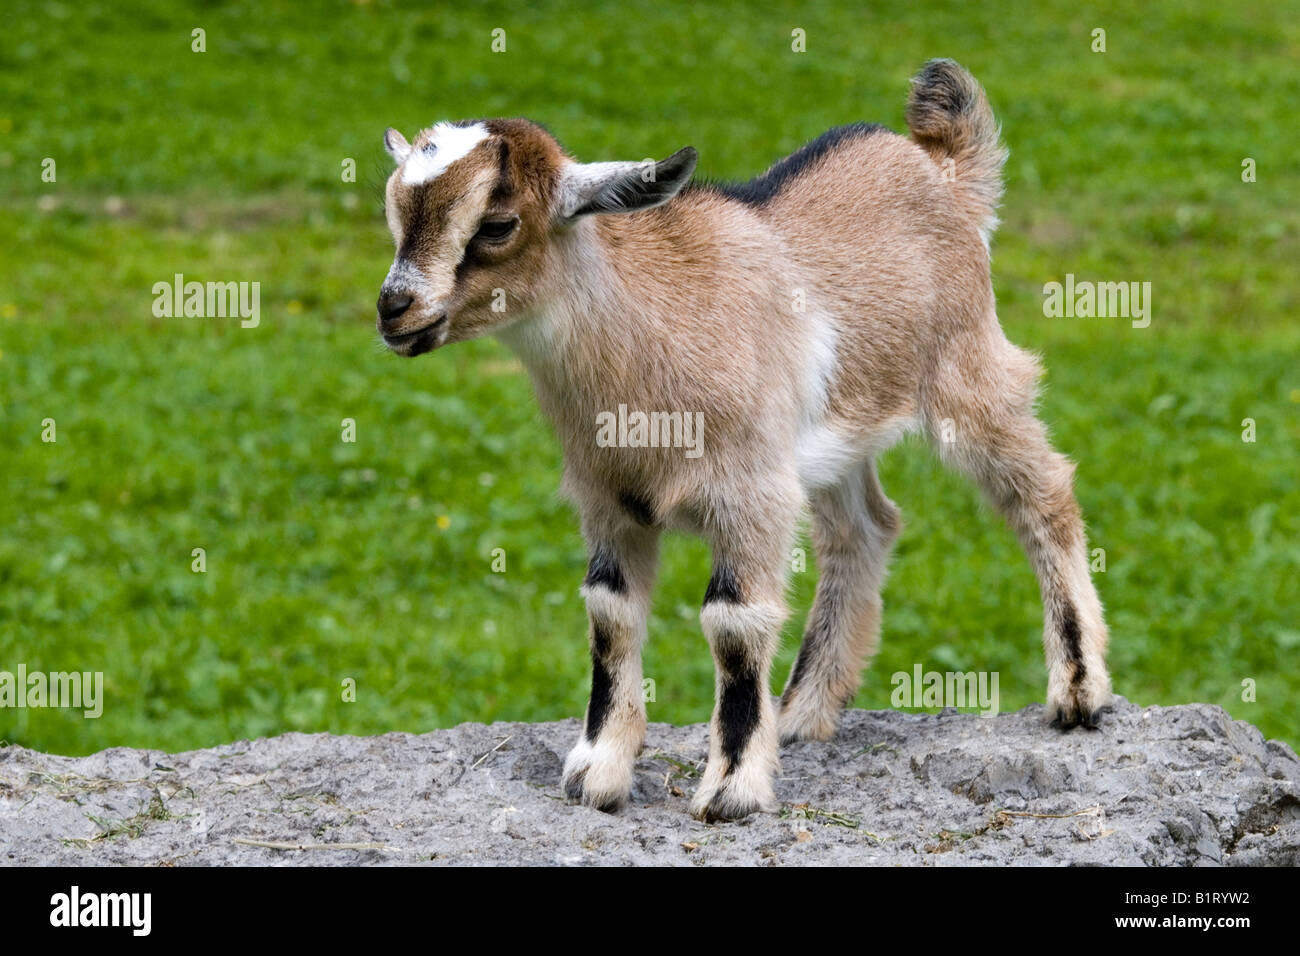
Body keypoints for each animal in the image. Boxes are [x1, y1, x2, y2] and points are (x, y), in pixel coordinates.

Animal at [375, 59, 1112, 821]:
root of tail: (944, 169)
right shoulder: (606, 499)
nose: (394, 310)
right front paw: (596, 771)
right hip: (830, 443)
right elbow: (609, 615)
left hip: (966, 373)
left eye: (496, 224)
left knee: (1042, 491)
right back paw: (802, 711)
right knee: (865, 529)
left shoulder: (748, 495)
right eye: (394, 211)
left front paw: (731, 788)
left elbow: (733, 625)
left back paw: (1077, 691)